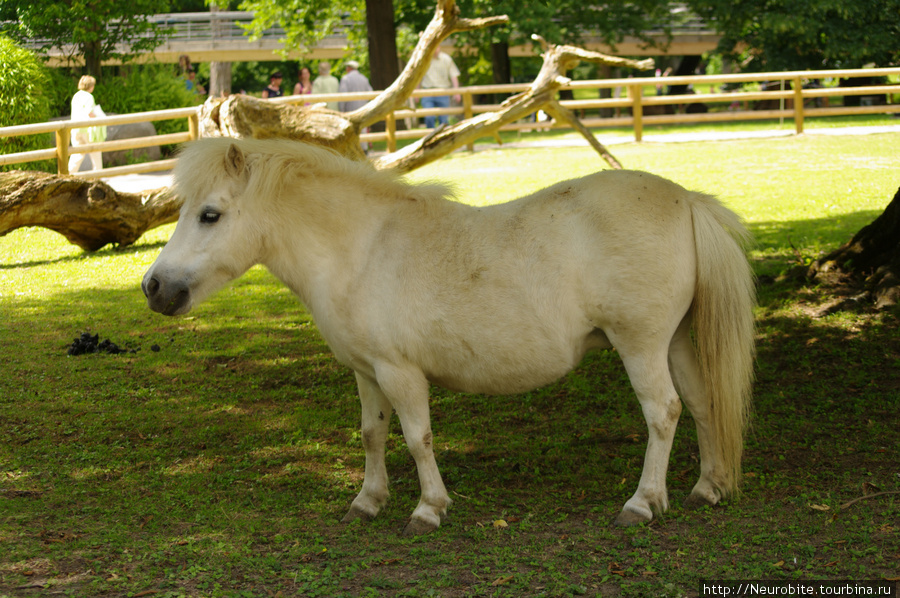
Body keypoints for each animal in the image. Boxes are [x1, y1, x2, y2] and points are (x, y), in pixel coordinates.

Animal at [144, 138, 756, 536]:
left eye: (210, 214)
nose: (154, 288)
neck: (360, 248)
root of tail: (686, 200)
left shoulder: (400, 372)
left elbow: (418, 439)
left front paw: (428, 509)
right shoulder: (367, 372)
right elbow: (372, 434)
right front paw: (367, 502)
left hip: (641, 345)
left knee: (663, 412)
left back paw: (643, 502)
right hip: (675, 342)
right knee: (701, 404)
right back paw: (708, 487)